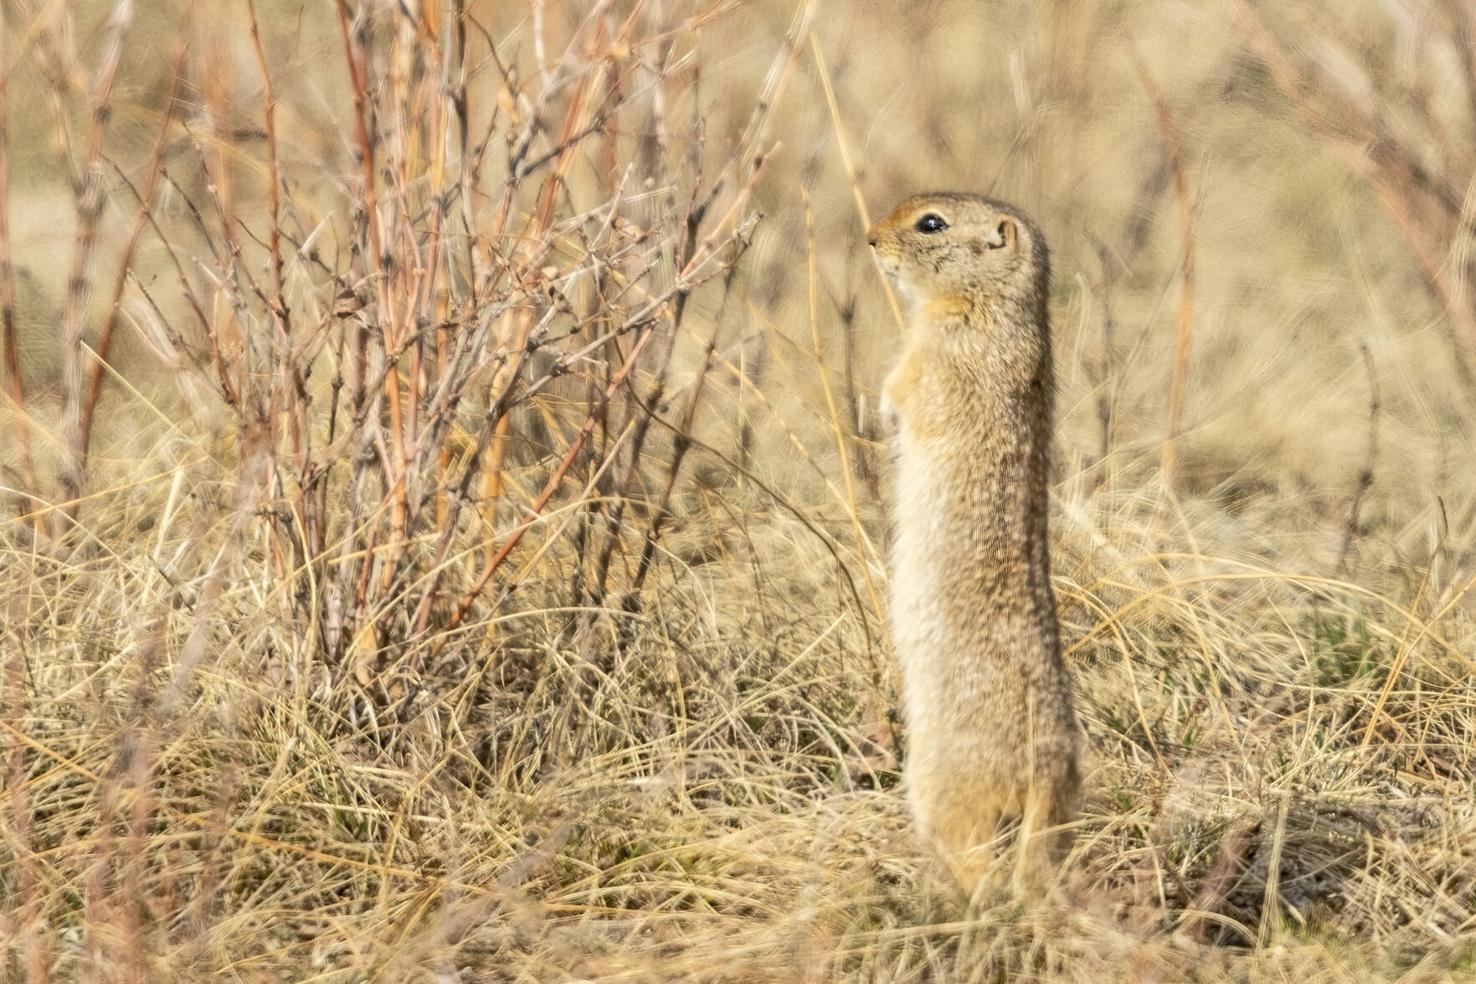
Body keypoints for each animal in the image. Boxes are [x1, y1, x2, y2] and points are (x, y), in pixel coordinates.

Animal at [868, 192, 1081, 899]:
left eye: (930, 223)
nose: (869, 238)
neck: (991, 301)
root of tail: (1046, 771)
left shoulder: (937, 357)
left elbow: (905, 391)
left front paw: (882, 409)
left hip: (941, 786)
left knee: (979, 865)